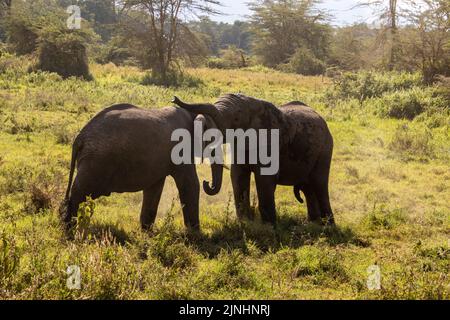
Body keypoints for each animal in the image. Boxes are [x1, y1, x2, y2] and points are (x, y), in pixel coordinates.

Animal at [59, 104, 211, 232]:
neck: (191, 113)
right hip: (94, 163)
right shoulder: (181, 148)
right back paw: (69, 231)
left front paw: (147, 232)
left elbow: (154, 188)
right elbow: (190, 184)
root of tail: (80, 137)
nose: (207, 183)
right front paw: (195, 234)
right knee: (79, 194)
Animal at [172, 94, 334, 226]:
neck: (253, 103)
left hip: (325, 149)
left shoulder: (271, 142)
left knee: (319, 183)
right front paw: (245, 222)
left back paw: (328, 225)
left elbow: (264, 179)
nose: (174, 99)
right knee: (308, 187)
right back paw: (313, 223)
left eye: (236, 118)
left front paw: (269, 226)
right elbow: (237, 176)